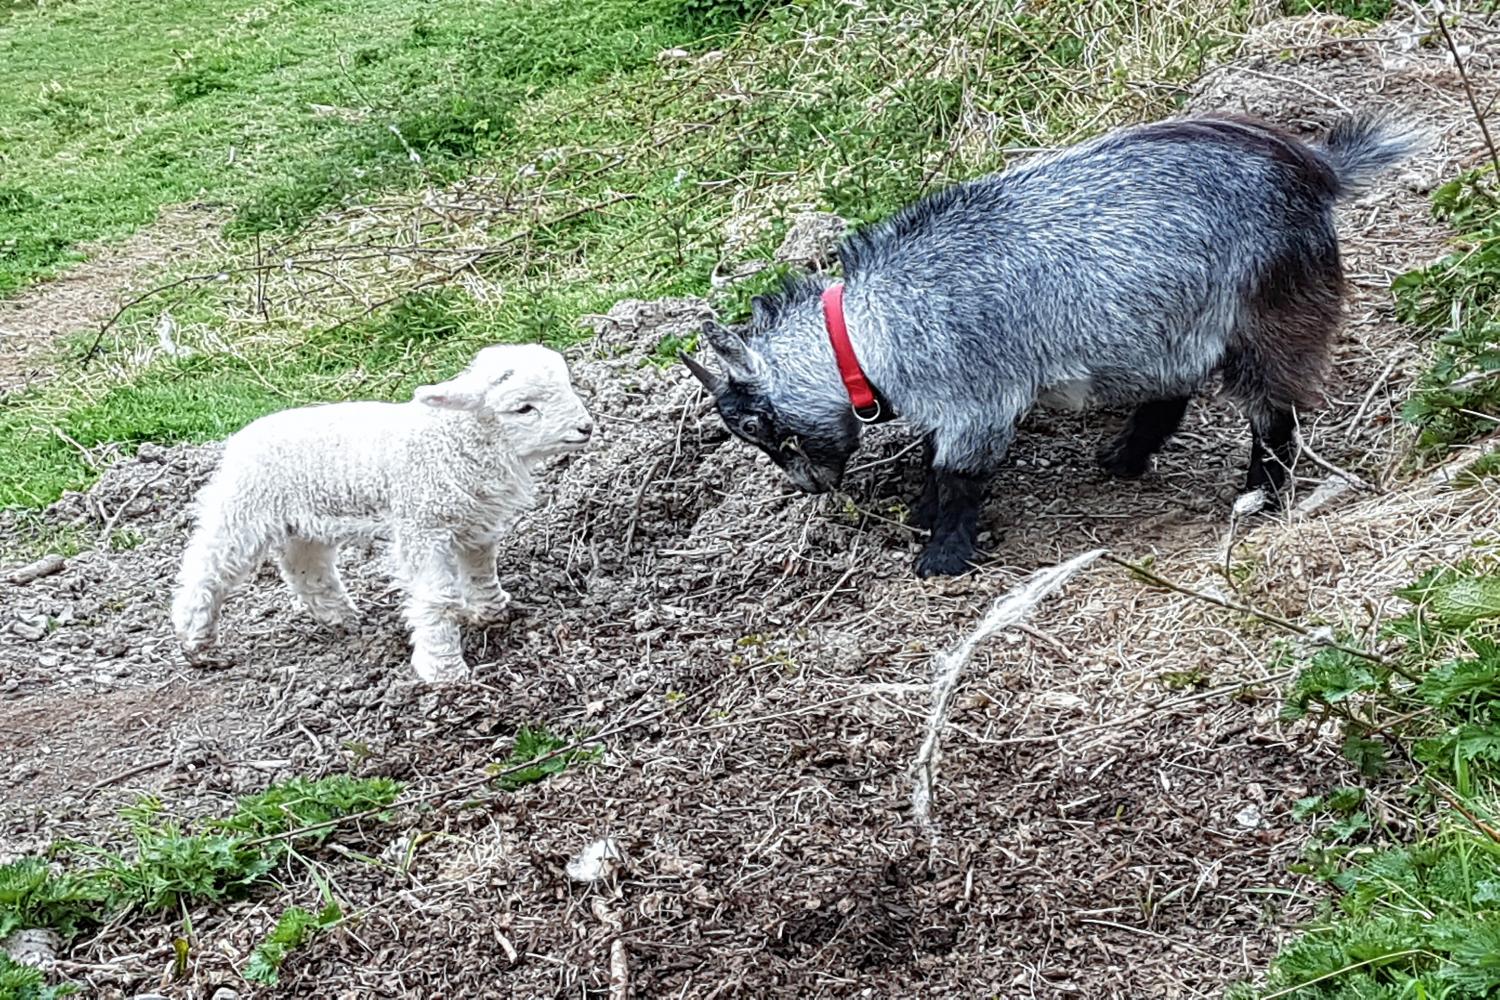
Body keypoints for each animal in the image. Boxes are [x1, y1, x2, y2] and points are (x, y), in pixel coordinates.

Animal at [172, 341, 594, 680]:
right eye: (524, 408)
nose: (586, 427)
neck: (454, 439)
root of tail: (240, 438)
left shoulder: (475, 521)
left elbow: (480, 569)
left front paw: (492, 610)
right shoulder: (421, 525)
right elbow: (436, 596)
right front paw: (443, 669)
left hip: (302, 523)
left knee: (306, 568)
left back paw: (340, 617)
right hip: (242, 508)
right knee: (208, 565)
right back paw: (195, 637)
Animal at [687, 112, 1422, 575]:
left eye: (757, 425)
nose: (807, 486)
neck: (872, 324)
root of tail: (1318, 171)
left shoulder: (978, 398)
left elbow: (958, 474)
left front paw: (941, 555)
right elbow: (930, 455)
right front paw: (922, 511)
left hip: (1275, 311)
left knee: (1275, 411)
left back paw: (1261, 496)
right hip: (1161, 331)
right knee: (1169, 397)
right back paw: (1122, 458)